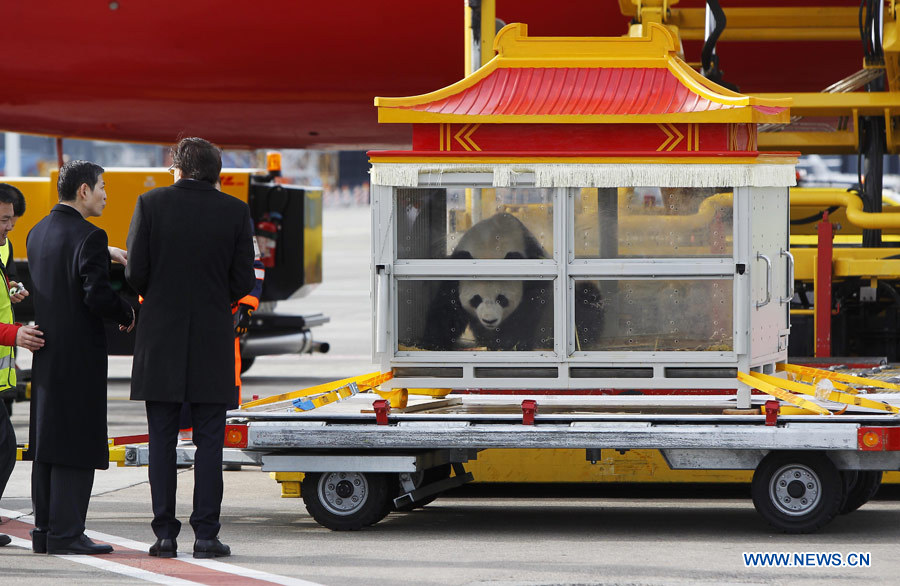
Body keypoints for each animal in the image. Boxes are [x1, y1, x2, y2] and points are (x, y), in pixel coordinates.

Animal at [422, 214, 604, 352]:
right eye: (476, 299)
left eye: (501, 299)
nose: (489, 321)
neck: (491, 245)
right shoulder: (455, 271)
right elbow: (447, 309)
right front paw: (434, 342)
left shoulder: (532, 266)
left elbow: (528, 310)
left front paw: (508, 341)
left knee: (586, 302)